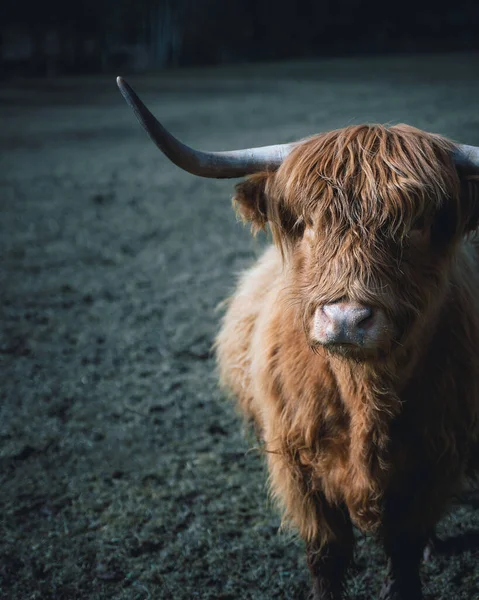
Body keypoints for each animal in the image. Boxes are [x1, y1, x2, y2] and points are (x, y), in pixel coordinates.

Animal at [117, 77, 479, 596]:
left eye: (418, 224)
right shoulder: (299, 469)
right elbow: (327, 556)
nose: (346, 319)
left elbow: (405, 555)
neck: (365, 395)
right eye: (306, 224)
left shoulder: (434, 463)